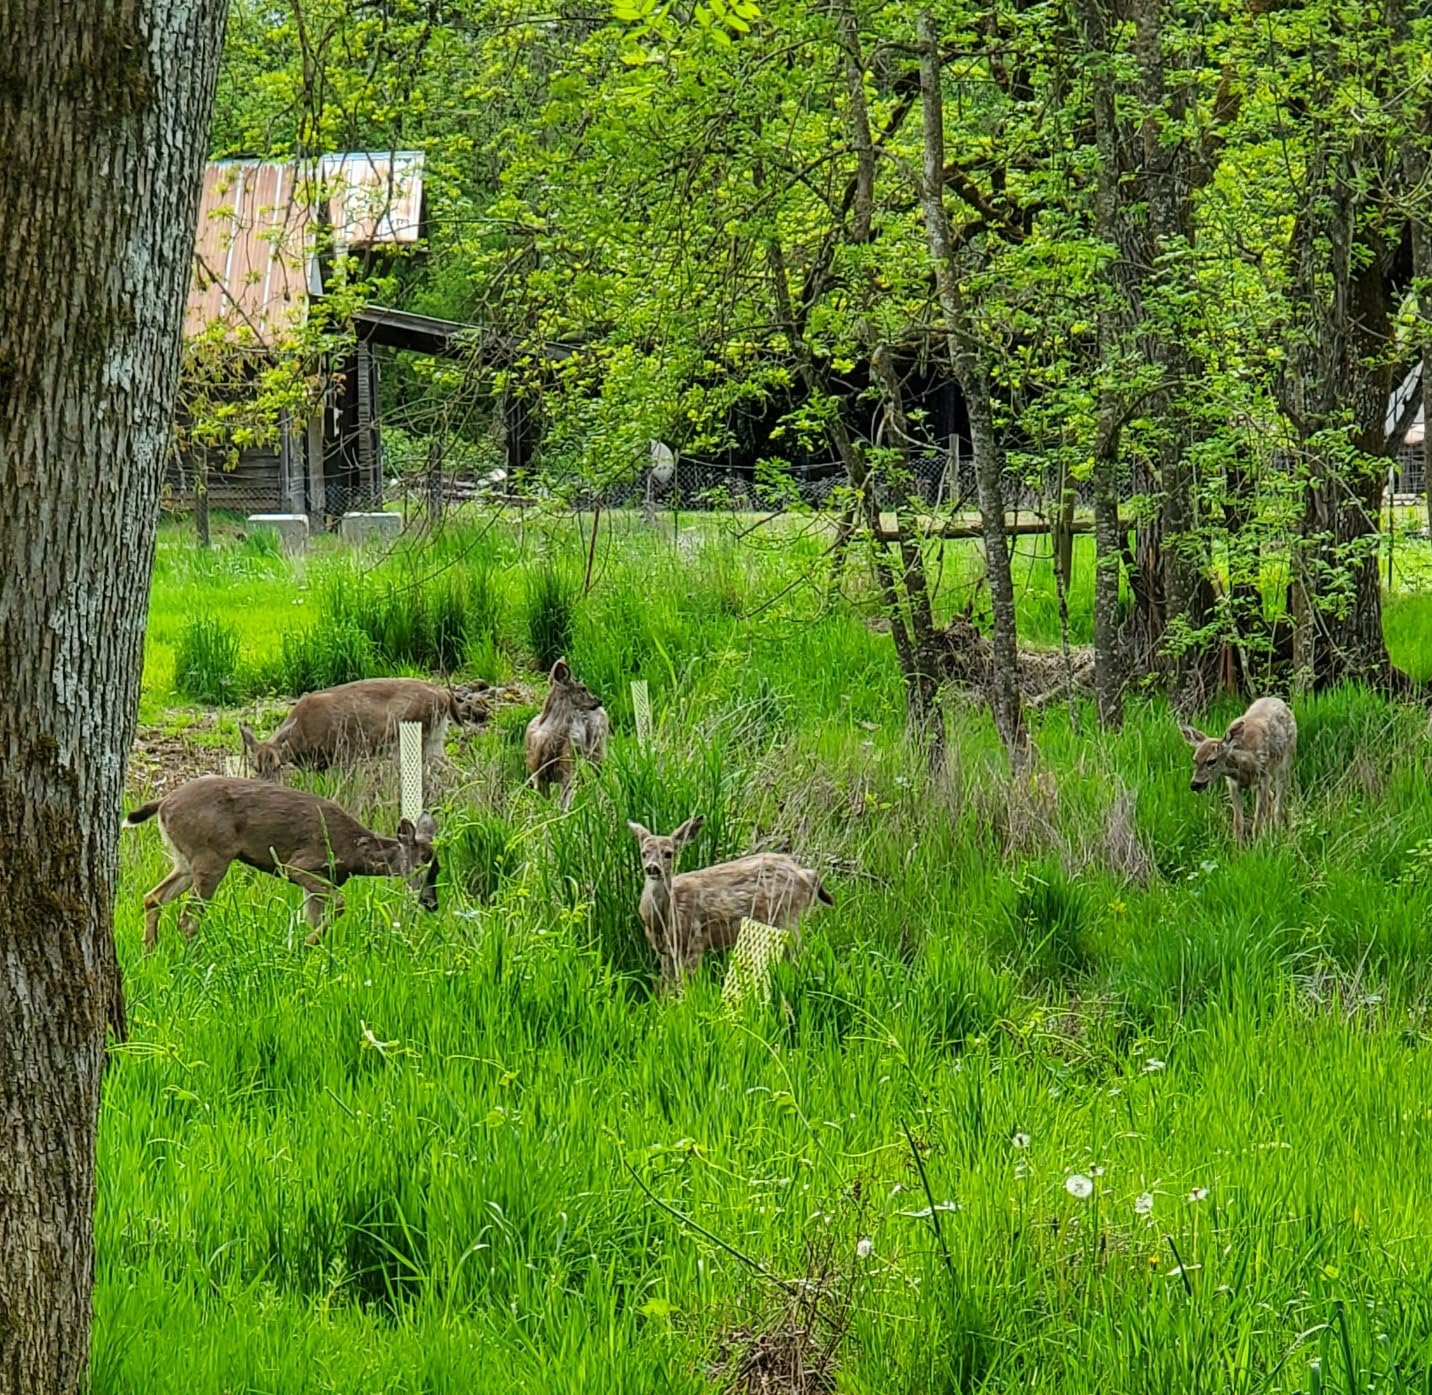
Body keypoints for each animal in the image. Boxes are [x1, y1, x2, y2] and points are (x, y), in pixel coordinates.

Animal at [122, 775, 439, 949]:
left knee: (153, 897)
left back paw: (150, 952)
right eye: (421, 866)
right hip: (210, 856)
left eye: (438, 868)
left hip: (185, 860)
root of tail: (164, 803)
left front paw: (311, 954)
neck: (352, 850)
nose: (432, 903)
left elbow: (316, 917)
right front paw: (306, 945)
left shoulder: (317, 882)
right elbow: (340, 903)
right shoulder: (300, 865)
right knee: (188, 919)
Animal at [239, 676, 486, 780]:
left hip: (411, 734)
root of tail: (445, 694)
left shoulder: (345, 751)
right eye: (254, 766)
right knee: (451, 768)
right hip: (435, 736)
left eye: (278, 765)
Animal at [524, 658, 610, 811]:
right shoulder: (538, 774)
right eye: (583, 688)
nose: (599, 700)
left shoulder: (566, 772)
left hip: (597, 748)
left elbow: (563, 807)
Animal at [627, 815, 833, 981]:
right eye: (643, 853)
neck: (665, 918)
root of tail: (808, 874)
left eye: (669, 853)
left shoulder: (693, 944)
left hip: (788, 918)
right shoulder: (665, 952)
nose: (653, 868)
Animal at [1181, 695, 1297, 842]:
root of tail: (1277, 699)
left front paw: (1258, 845)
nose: (1195, 784)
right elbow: (1238, 823)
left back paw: (1279, 834)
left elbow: (1257, 823)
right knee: (1271, 797)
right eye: (1195, 760)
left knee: (1278, 803)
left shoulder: (1263, 778)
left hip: (1285, 762)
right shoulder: (1233, 784)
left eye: (1212, 761)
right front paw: (1238, 847)